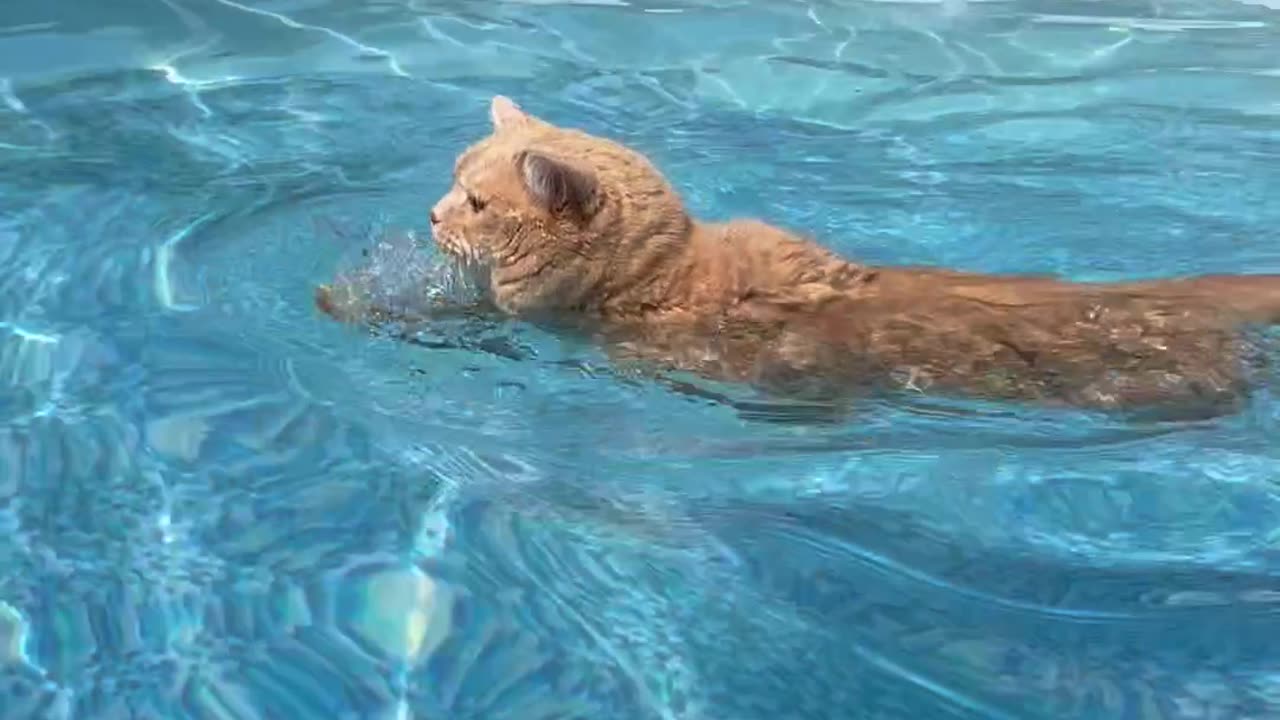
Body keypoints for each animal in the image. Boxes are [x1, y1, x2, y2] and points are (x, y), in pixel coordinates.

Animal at [317, 95, 1280, 415]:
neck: (660, 272)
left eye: (477, 203)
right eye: (453, 180)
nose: (432, 213)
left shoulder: (553, 330)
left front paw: (344, 302)